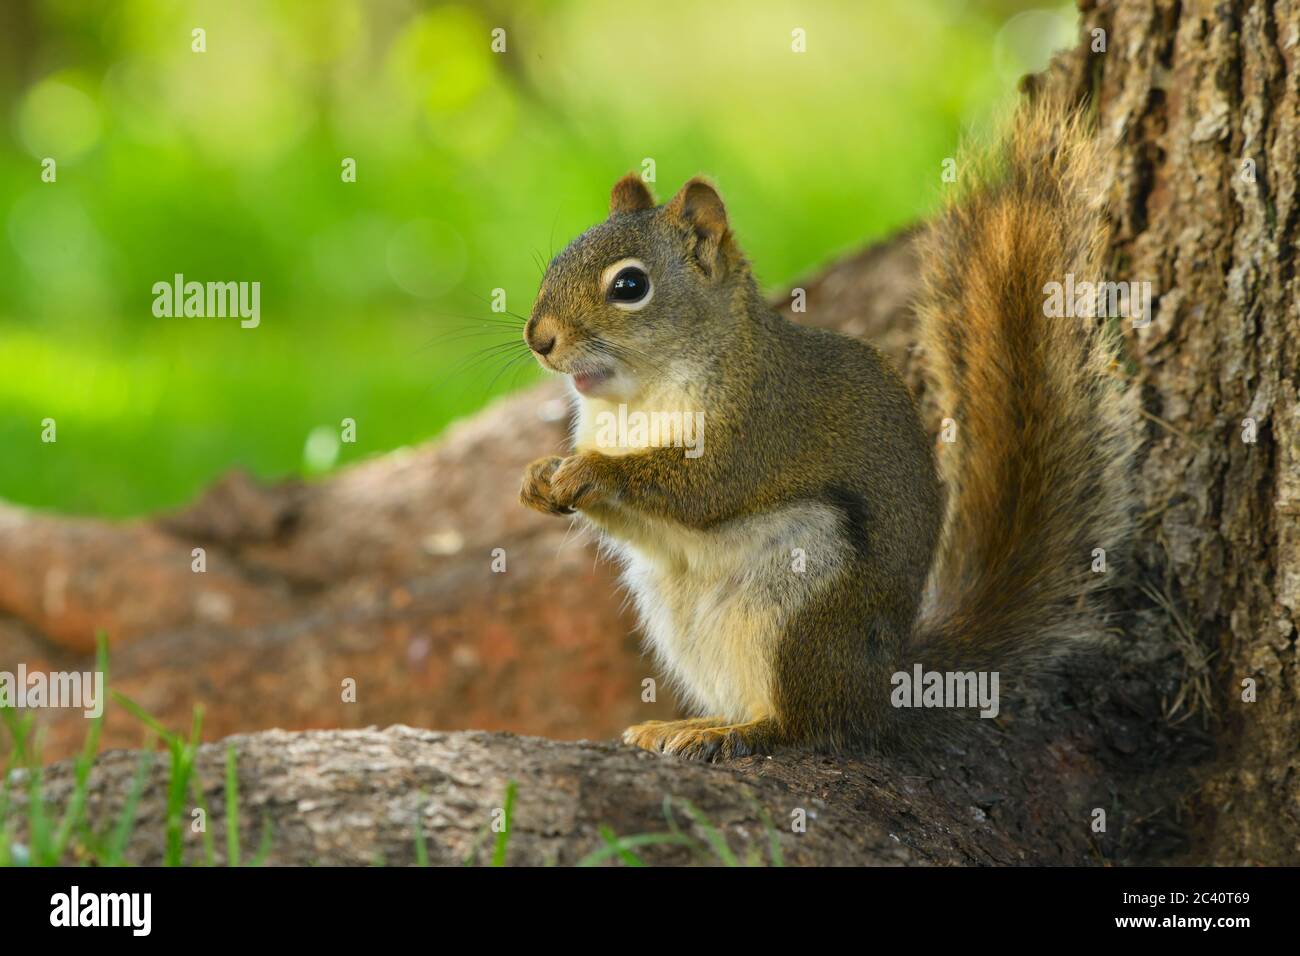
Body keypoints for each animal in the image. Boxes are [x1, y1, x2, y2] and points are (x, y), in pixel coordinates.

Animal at [518, 94, 1138, 761]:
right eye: (555, 261)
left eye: (630, 285)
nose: (538, 339)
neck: (637, 396)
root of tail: (882, 689)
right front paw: (539, 477)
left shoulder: (761, 428)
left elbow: (704, 489)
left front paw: (590, 471)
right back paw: (692, 724)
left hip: (802, 607)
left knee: (806, 724)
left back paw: (740, 731)